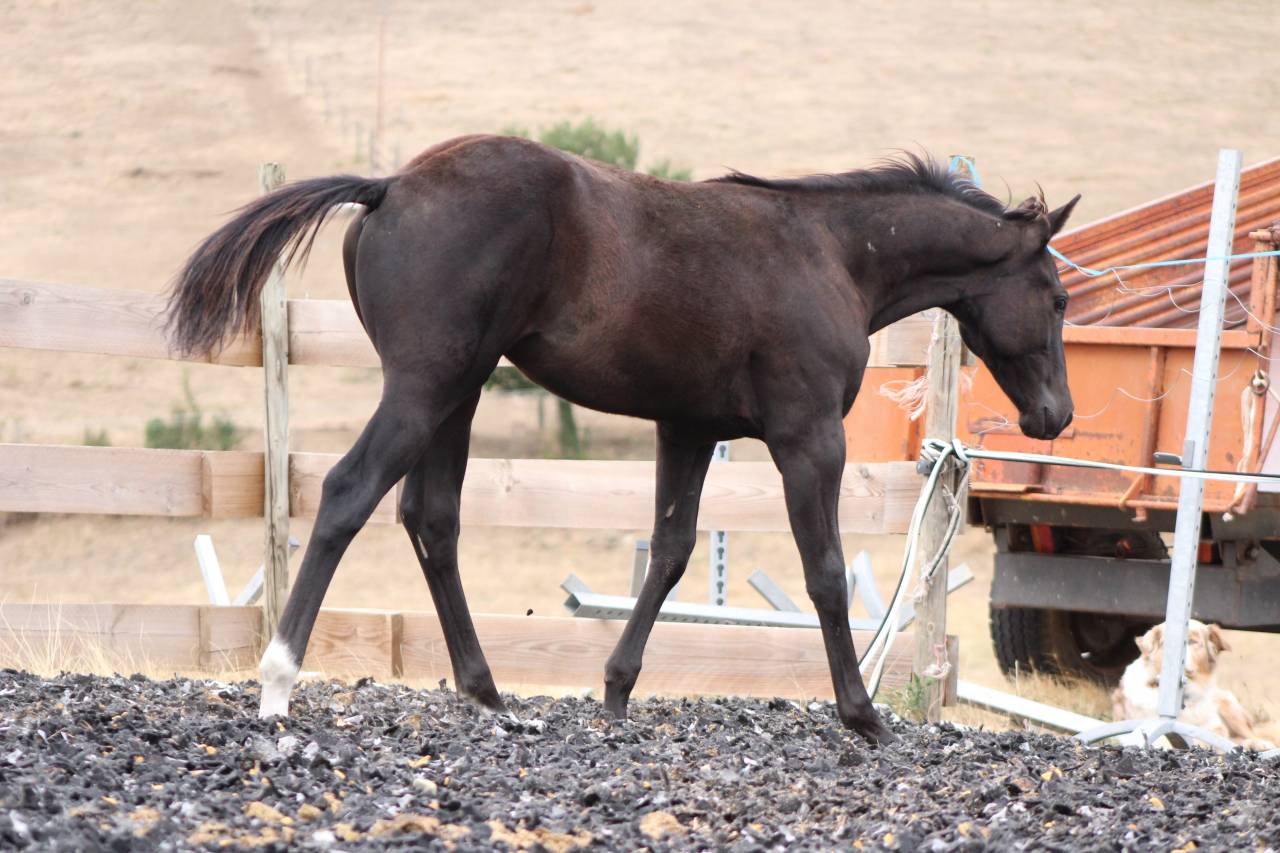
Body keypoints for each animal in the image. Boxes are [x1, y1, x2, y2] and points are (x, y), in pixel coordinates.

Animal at [167, 134, 1078, 745]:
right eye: (1058, 295)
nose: (1056, 416)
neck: (830, 254)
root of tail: (391, 186)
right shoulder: (809, 437)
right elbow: (823, 573)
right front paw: (862, 714)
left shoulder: (688, 428)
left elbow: (671, 551)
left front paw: (615, 690)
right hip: (424, 387)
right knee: (350, 494)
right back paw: (278, 682)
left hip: (457, 394)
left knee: (434, 520)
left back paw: (487, 692)